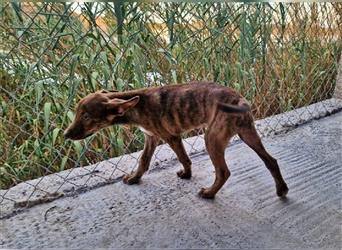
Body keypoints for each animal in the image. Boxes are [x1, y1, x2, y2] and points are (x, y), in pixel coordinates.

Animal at [64, 81, 288, 198]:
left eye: (86, 116)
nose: (65, 135)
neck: (137, 104)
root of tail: (238, 99)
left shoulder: (170, 137)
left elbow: (183, 158)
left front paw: (187, 175)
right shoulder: (151, 137)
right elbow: (143, 161)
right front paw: (135, 178)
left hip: (212, 138)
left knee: (223, 172)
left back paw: (209, 193)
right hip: (248, 133)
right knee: (271, 161)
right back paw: (282, 189)